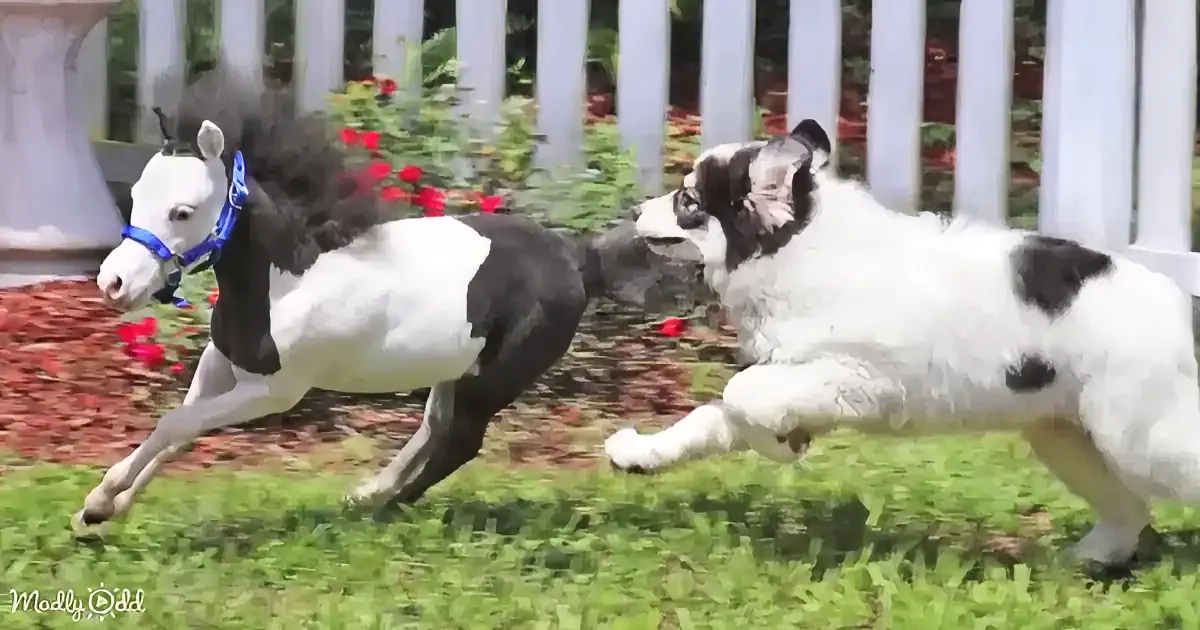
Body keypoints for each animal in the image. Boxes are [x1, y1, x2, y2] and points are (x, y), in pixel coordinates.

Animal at [73, 69, 693, 533]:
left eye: (182, 211)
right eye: (136, 194)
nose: (113, 282)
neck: (290, 277)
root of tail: (578, 257)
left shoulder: (276, 391)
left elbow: (175, 425)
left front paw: (101, 504)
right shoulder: (221, 364)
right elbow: (178, 430)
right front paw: (103, 509)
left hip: (493, 379)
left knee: (459, 441)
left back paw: (379, 504)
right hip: (455, 370)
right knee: (435, 428)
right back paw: (368, 493)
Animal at [607, 118, 1200, 570]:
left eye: (688, 200)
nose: (634, 213)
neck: (803, 250)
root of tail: (1185, 308)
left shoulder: (858, 377)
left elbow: (740, 392)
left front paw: (780, 447)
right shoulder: (799, 379)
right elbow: (714, 417)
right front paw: (643, 452)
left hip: (1140, 436)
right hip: (1066, 435)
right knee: (1129, 509)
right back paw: (1085, 560)